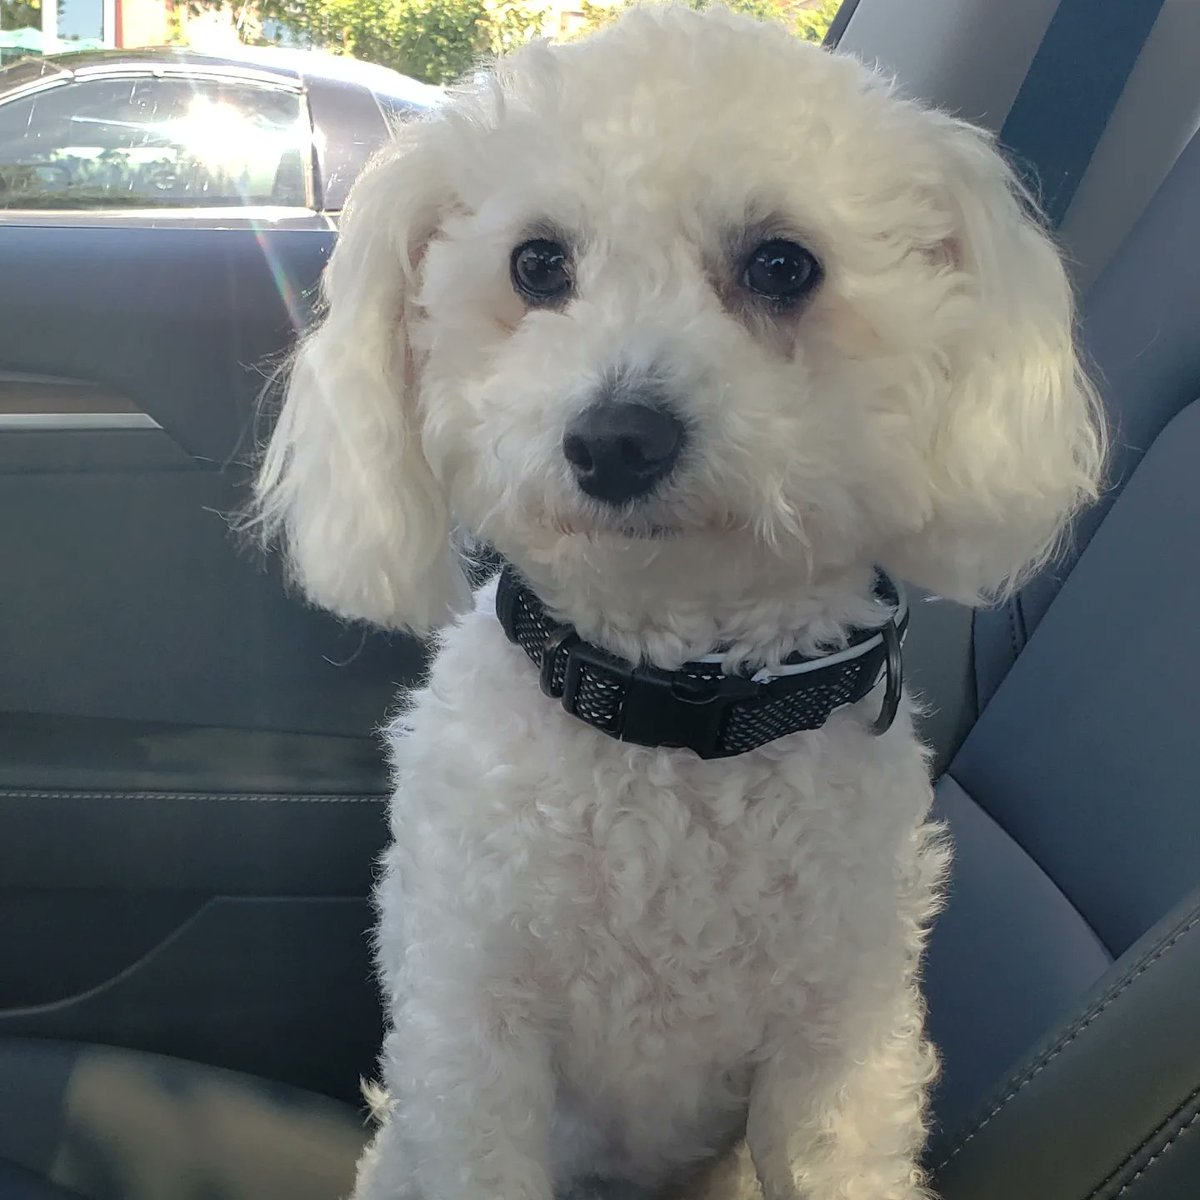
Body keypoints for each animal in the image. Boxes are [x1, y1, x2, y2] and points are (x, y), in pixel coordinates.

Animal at [255, 4, 1104, 1195]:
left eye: (783, 264)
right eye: (536, 262)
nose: (616, 438)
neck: (672, 716)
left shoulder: (838, 1044)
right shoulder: (475, 1035)